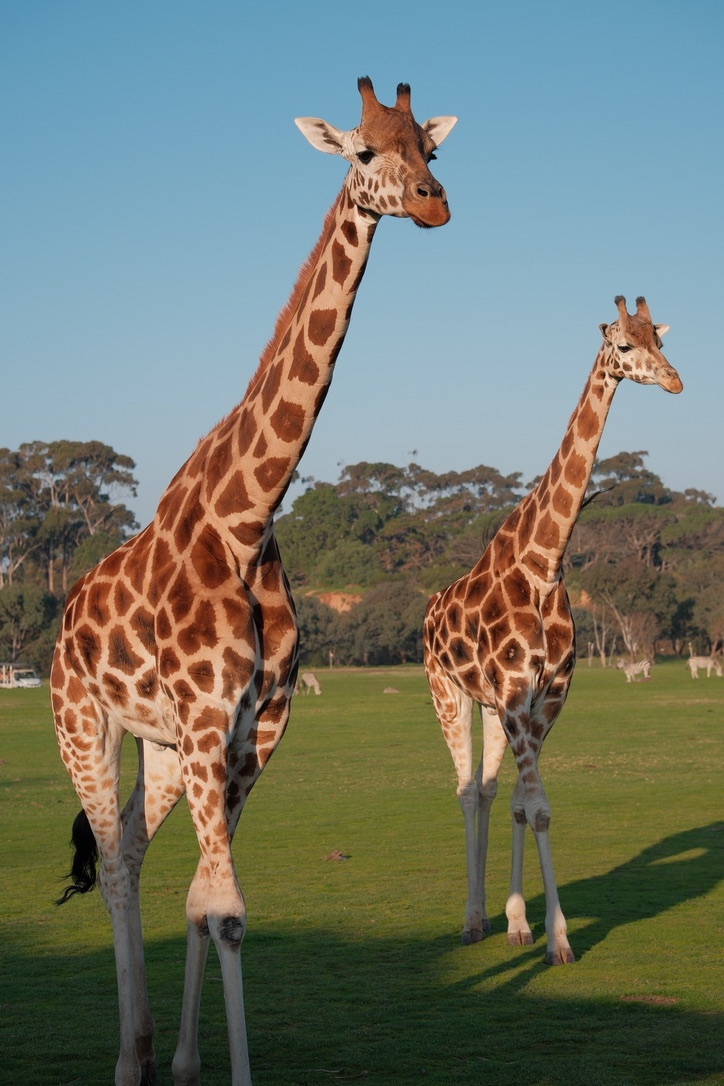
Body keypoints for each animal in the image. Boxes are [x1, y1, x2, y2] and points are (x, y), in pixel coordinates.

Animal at [51, 77, 456, 1086]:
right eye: (364, 151)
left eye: (431, 150)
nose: (433, 203)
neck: (247, 519)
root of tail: (63, 619)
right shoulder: (206, 722)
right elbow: (225, 908)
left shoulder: (251, 727)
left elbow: (209, 899)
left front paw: (194, 1063)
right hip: (84, 723)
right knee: (112, 863)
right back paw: (126, 1056)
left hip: (160, 749)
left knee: (136, 850)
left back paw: (150, 1049)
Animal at [423, 296, 682, 964]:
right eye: (623, 345)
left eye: (660, 337)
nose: (675, 381)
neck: (545, 562)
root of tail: (430, 610)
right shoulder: (516, 693)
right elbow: (535, 805)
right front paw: (559, 939)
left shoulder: (544, 698)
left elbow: (525, 805)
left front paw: (527, 925)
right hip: (448, 693)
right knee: (466, 790)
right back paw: (469, 920)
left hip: (491, 706)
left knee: (490, 791)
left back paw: (497, 919)